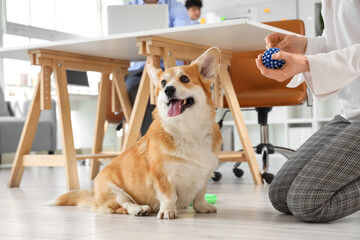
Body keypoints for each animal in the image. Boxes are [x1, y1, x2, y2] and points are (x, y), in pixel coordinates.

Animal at [47, 47, 222, 219]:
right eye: (163, 83)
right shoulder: (162, 177)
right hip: (113, 190)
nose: (168, 90)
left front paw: (203, 207)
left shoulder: (204, 174)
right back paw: (139, 209)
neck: (188, 130)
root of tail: (94, 195)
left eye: (185, 79)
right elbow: (169, 196)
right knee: (122, 205)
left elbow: (200, 195)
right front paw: (167, 211)